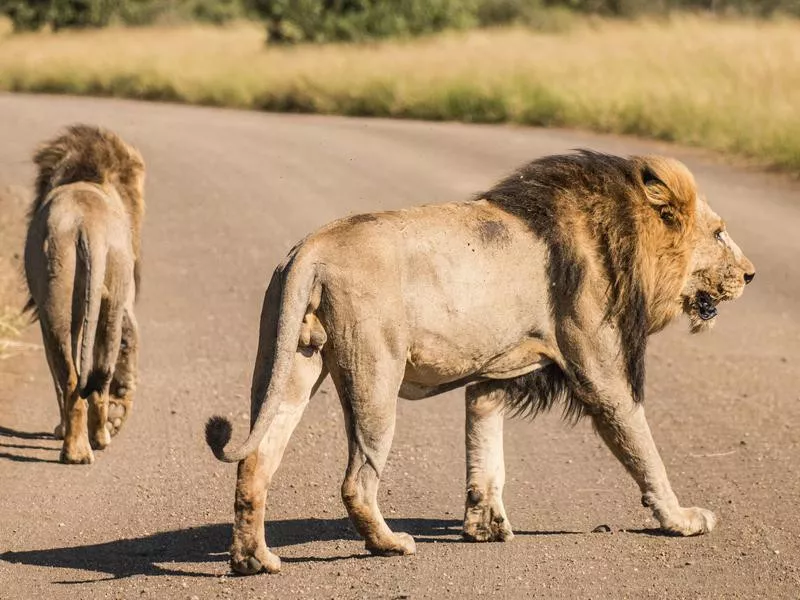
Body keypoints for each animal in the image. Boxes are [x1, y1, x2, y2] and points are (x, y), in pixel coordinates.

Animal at [24, 124, 147, 466]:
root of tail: (86, 226)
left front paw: (59, 429)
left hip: (57, 305)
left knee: (70, 378)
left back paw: (76, 447)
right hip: (109, 296)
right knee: (97, 374)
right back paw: (98, 439)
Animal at [203, 148, 752, 576]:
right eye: (719, 233)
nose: (750, 274)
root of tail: (310, 249)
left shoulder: (494, 376)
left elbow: (485, 450)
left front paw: (484, 525)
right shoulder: (602, 372)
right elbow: (645, 451)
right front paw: (681, 519)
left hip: (287, 365)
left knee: (255, 460)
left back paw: (253, 560)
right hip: (374, 376)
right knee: (357, 482)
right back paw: (389, 545)